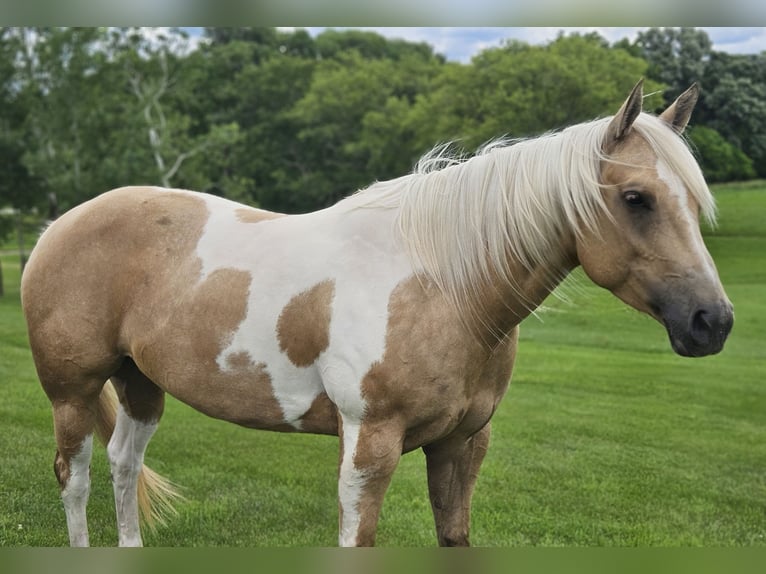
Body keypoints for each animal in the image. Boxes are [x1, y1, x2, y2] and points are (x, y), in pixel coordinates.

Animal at [21, 80, 733, 547]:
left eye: (694, 200)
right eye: (637, 198)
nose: (713, 322)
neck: (442, 285)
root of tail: (58, 226)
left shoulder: (462, 445)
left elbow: (454, 538)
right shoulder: (370, 446)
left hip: (140, 382)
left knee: (123, 464)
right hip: (72, 390)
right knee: (75, 476)